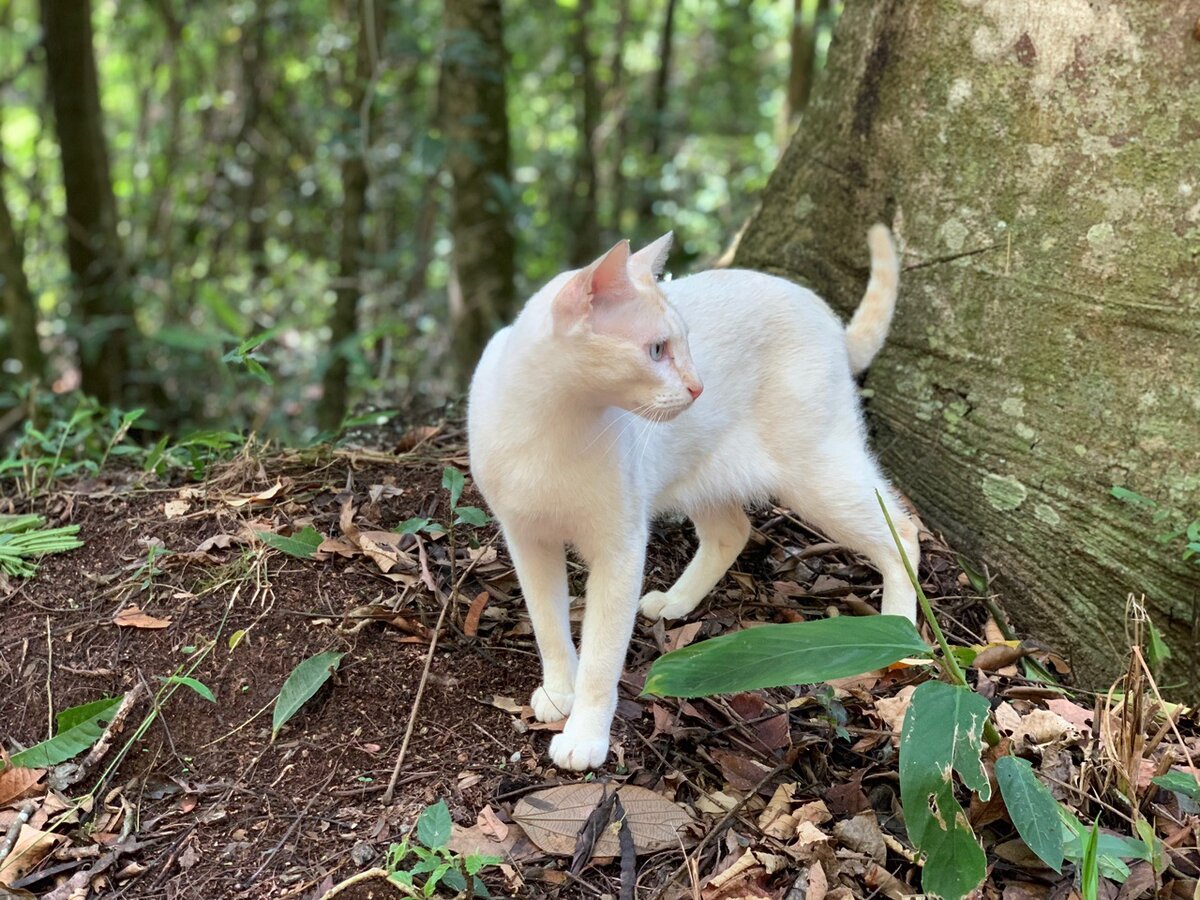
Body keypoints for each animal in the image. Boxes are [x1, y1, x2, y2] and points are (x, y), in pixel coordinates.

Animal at [468, 224, 916, 768]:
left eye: (682, 345)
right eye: (658, 350)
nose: (698, 387)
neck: (551, 427)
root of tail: (826, 316)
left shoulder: (619, 551)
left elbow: (600, 656)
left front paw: (585, 734)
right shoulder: (528, 542)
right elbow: (548, 627)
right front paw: (559, 692)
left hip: (818, 475)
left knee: (903, 531)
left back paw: (898, 634)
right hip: (706, 479)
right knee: (732, 533)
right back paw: (677, 602)